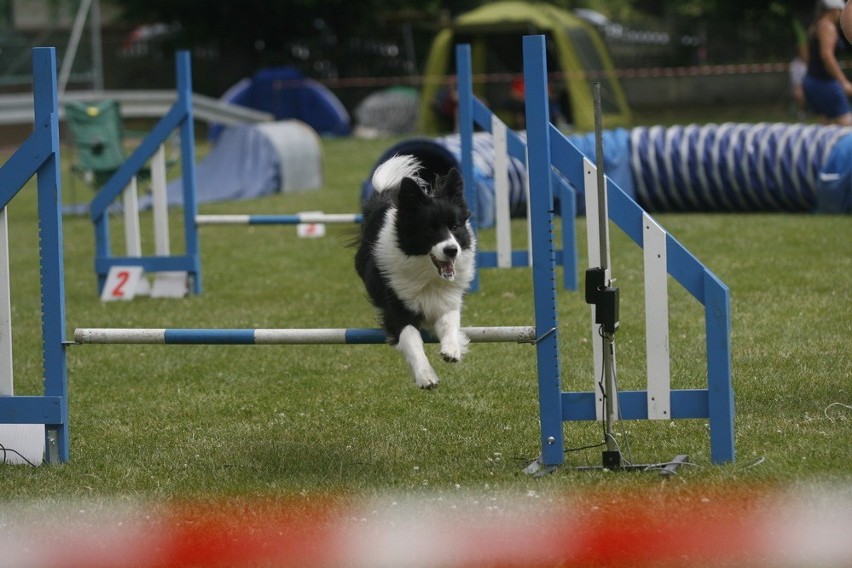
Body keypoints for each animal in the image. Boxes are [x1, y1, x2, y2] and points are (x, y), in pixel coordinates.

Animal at [352, 153, 472, 388]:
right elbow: (411, 339)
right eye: (430, 229)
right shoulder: (396, 306)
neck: (427, 275)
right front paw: (426, 376)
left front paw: (451, 349)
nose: (452, 250)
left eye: (455, 226)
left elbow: (450, 320)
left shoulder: (447, 298)